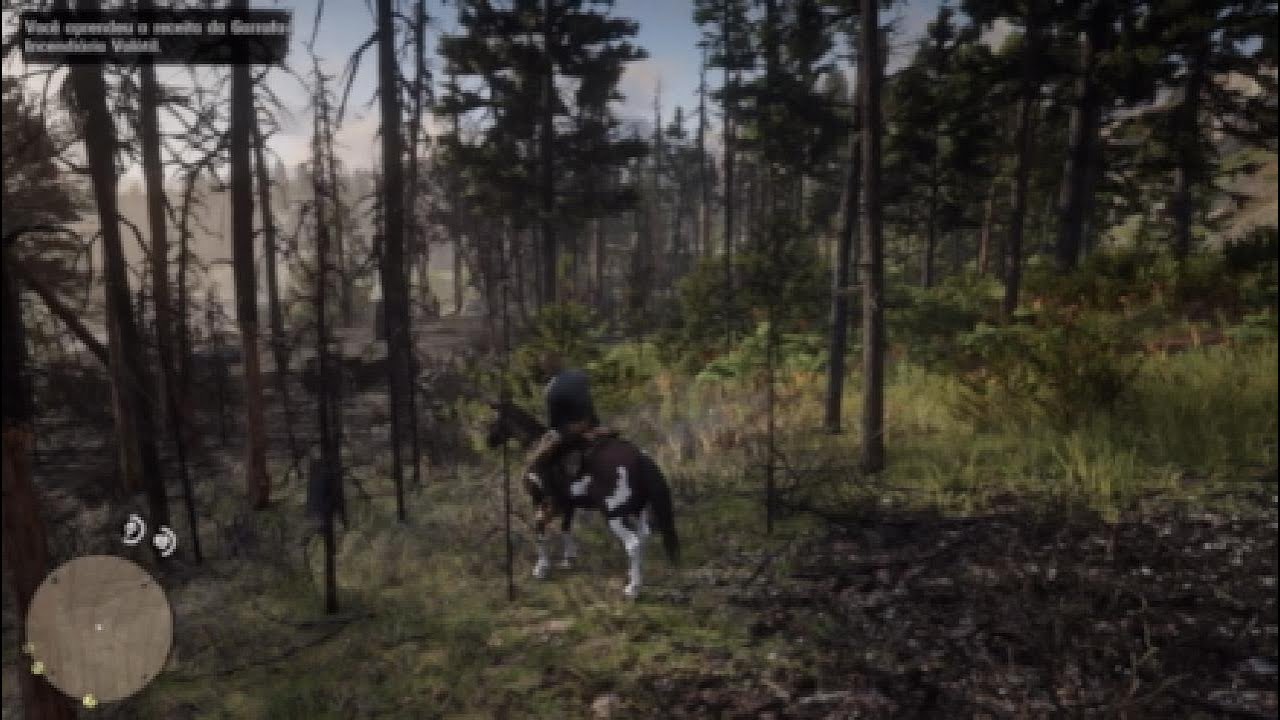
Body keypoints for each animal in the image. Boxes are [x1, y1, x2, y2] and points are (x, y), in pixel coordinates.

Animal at [484, 400, 679, 599]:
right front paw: (569, 559)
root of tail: (641, 458)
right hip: (638, 510)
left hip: (615, 515)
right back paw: (634, 577)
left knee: (633, 544)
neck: (534, 445)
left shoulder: (539, 500)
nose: (488, 441)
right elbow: (566, 529)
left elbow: (539, 532)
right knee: (644, 537)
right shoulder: (568, 505)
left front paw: (541, 568)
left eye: (493, 420)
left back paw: (632, 589)